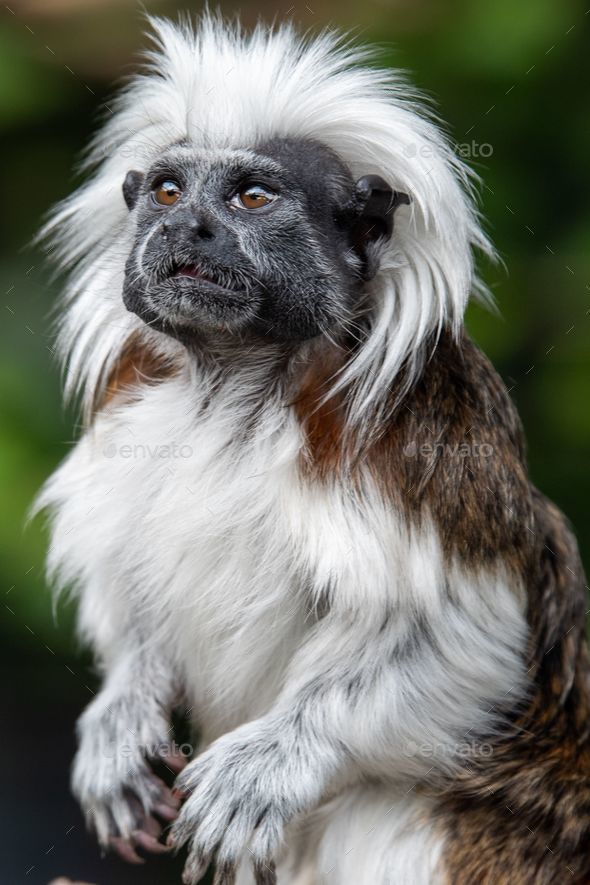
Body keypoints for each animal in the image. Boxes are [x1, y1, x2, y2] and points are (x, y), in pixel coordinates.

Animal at [37, 13, 590, 884]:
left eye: (251, 197)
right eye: (168, 191)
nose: (182, 228)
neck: (234, 388)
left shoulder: (422, 453)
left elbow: (464, 635)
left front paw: (265, 764)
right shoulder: (134, 423)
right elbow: (134, 592)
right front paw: (120, 720)